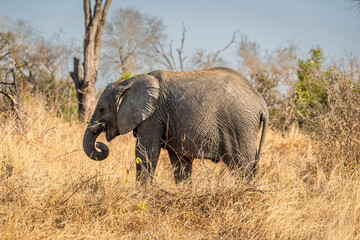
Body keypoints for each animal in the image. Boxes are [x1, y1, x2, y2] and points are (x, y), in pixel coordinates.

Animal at [82, 67, 268, 184]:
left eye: (101, 109)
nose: (100, 144)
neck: (129, 82)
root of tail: (261, 103)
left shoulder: (154, 115)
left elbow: (146, 152)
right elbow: (180, 160)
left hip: (240, 126)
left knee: (242, 168)